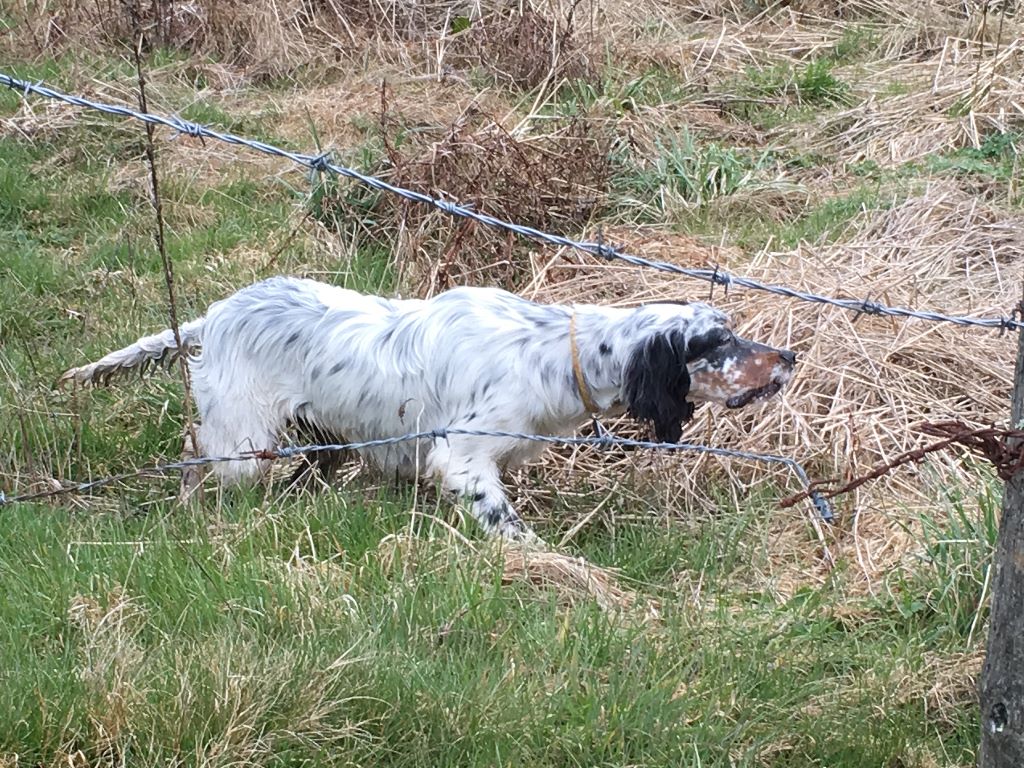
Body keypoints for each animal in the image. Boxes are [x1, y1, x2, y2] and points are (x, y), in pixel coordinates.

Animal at [64, 276, 794, 540]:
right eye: (717, 342)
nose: (788, 357)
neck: (555, 353)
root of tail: (217, 312)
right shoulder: (465, 458)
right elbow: (512, 529)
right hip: (246, 443)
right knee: (195, 449)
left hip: (321, 438)